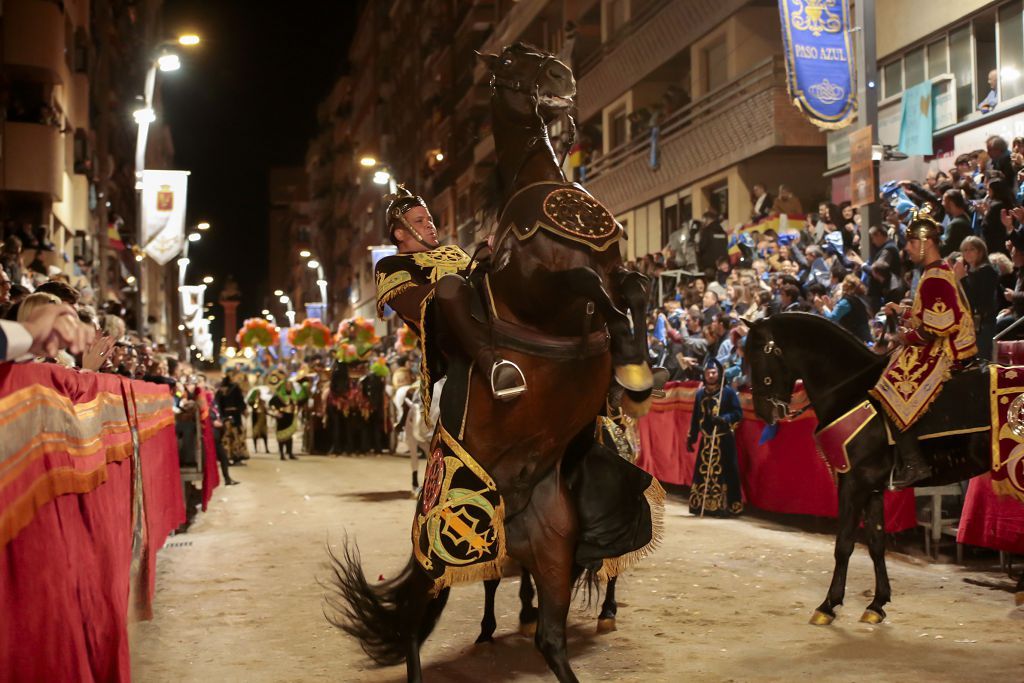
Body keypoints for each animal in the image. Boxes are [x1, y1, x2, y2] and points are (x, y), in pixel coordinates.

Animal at [327, 44, 655, 683]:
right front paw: (624, 360)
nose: (561, 74)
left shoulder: (614, 266)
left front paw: (633, 365)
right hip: (443, 557)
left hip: (553, 551)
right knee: (412, 628)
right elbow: (582, 285)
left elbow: (632, 287)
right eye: (511, 62)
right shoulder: (539, 288)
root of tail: (514, 522)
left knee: (550, 638)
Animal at [745, 313, 1024, 626]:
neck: (851, 390)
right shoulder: (873, 487)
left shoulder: (853, 483)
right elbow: (877, 543)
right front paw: (877, 604)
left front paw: (828, 605)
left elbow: (844, 544)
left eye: (758, 356)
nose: (762, 411)